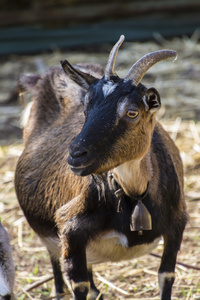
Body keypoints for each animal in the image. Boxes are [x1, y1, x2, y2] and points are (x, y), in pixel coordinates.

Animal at [15, 35, 188, 300]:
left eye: (132, 112)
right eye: (86, 108)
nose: (76, 155)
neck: (134, 194)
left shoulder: (178, 223)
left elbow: (166, 276)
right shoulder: (70, 229)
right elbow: (79, 285)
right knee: (54, 259)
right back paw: (60, 291)